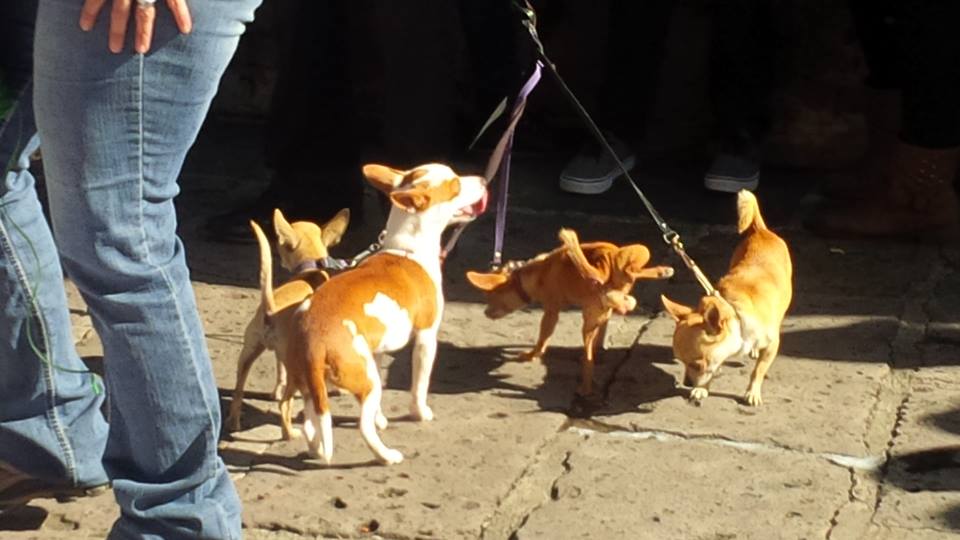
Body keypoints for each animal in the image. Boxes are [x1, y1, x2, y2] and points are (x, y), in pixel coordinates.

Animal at [227, 207, 350, 438]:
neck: (310, 271)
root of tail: (270, 311)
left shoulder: (279, 355)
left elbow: (279, 373)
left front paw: (275, 390)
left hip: (248, 353)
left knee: (238, 392)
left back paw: (234, 423)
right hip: (294, 364)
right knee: (284, 404)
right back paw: (290, 434)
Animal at [464, 228, 676, 396]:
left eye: (490, 298)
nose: (485, 313)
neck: (534, 272)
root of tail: (600, 271)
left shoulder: (551, 312)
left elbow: (542, 341)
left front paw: (531, 355)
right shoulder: (604, 312)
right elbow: (603, 330)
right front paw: (602, 346)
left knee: (588, 362)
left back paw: (585, 389)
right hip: (638, 252)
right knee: (633, 271)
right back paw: (662, 271)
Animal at [664, 190, 792, 404]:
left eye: (697, 365)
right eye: (681, 362)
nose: (687, 382)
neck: (735, 314)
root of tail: (760, 230)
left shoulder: (772, 346)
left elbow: (758, 370)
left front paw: (752, 392)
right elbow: (716, 368)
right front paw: (702, 388)